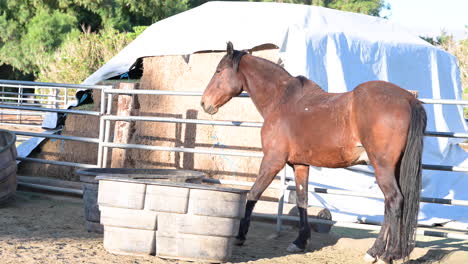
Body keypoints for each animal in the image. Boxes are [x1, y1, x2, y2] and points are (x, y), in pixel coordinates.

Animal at [199, 42, 426, 262]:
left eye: (219, 71)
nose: (204, 103)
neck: (282, 101)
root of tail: (408, 99)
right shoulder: (300, 165)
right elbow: (302, 200)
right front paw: (300, 241)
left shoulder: (272, 161)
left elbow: (253, 194)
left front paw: (240, 236)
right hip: (393, 168)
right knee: (391, 204)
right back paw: (378, 251)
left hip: (382, 167)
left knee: (394, 201)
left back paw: (386, 254)